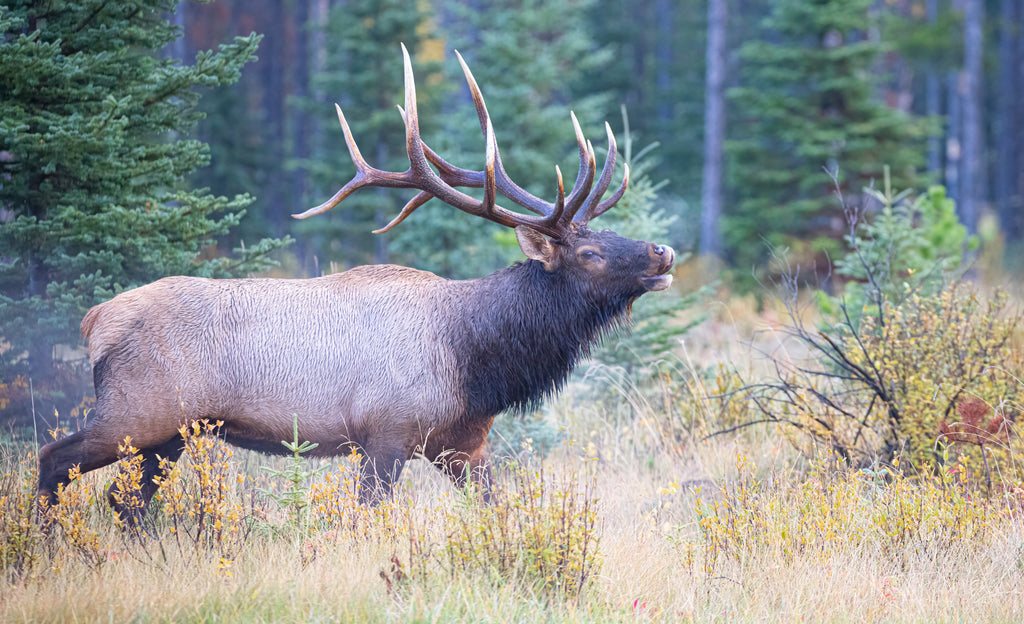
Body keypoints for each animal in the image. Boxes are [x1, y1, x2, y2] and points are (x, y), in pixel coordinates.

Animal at [39, 46, 675, 518]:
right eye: (589, 252)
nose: (662, 251)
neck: (476, 360)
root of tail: (94, 320)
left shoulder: (465, 445)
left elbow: (500, 511)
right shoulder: (385, 434)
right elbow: (366, 517)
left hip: (169, 433)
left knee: (126, 503)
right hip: (134, 411)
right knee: (53, 460)